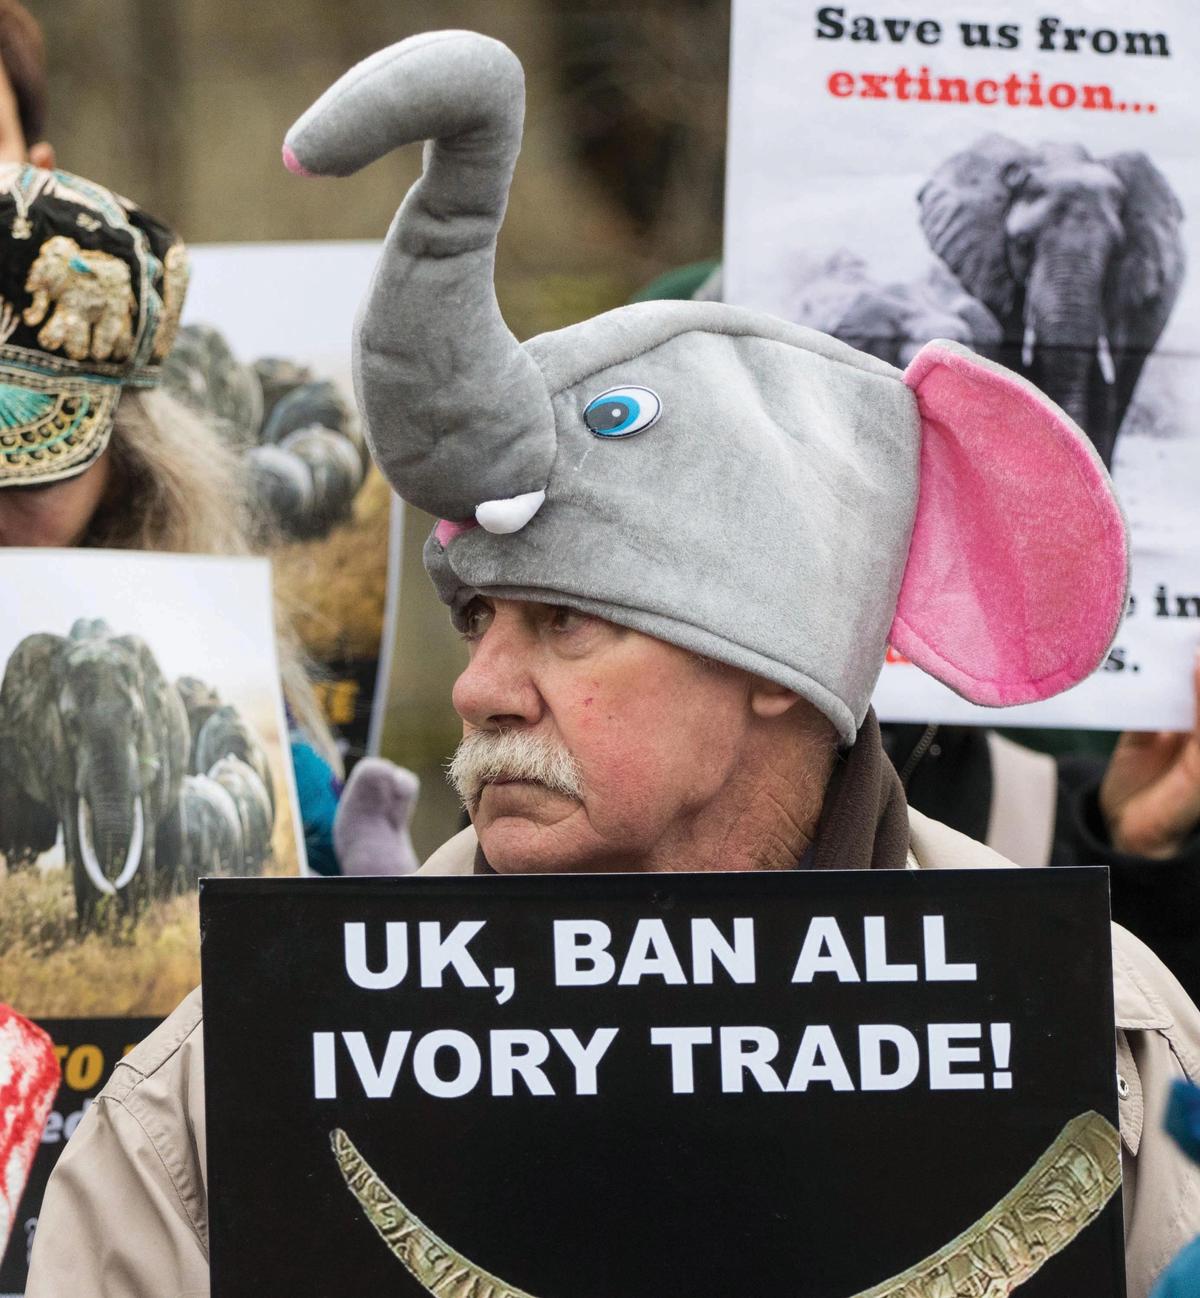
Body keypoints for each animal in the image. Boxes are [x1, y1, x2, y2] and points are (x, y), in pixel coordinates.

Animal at [0, 617, 187, 924]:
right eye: (71, 723)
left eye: (136, 720)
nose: (112, 884)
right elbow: (78, 837)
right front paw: (95, 929)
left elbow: (144, 833)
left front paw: (129, 928)